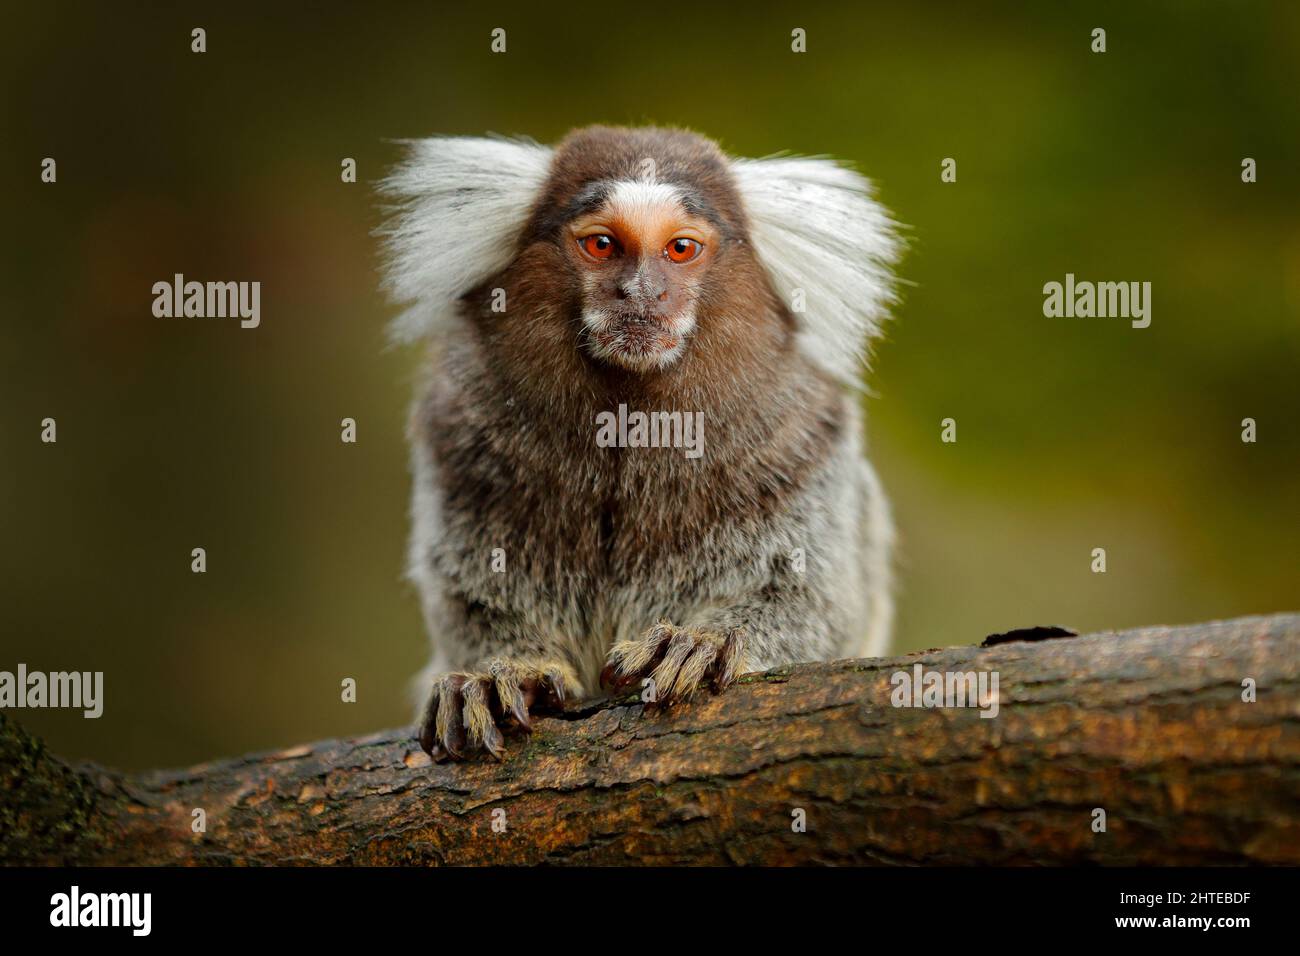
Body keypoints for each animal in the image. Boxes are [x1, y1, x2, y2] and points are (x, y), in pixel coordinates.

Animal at [379, 125, 899, 764]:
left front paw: (703, 642)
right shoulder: (459, 434)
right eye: (603, 245)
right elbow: (471, 597)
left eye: (680, 249)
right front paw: (501, 672)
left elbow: (817, 600)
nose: (641, 293)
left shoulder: (802, 440)